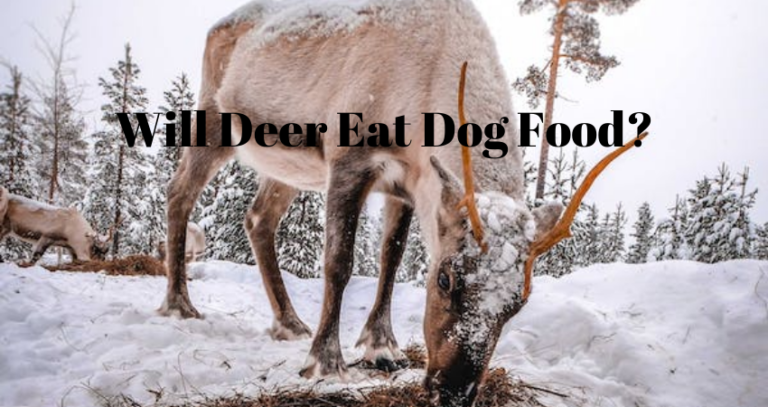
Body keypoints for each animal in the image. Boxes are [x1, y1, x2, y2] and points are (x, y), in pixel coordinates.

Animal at [158, 1, 647, 406]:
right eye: (446, 279)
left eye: (520, 301)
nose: (453, 392)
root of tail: (221, 24)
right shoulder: (348, 159)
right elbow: (339, 262)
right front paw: (326, 362)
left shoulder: (408, 186)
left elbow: (390, 261)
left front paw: (383, 348)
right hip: (214, 119)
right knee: (178, 193)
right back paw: (180, 303)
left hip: (287, 165)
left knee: (259, 217)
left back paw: (288, 322)